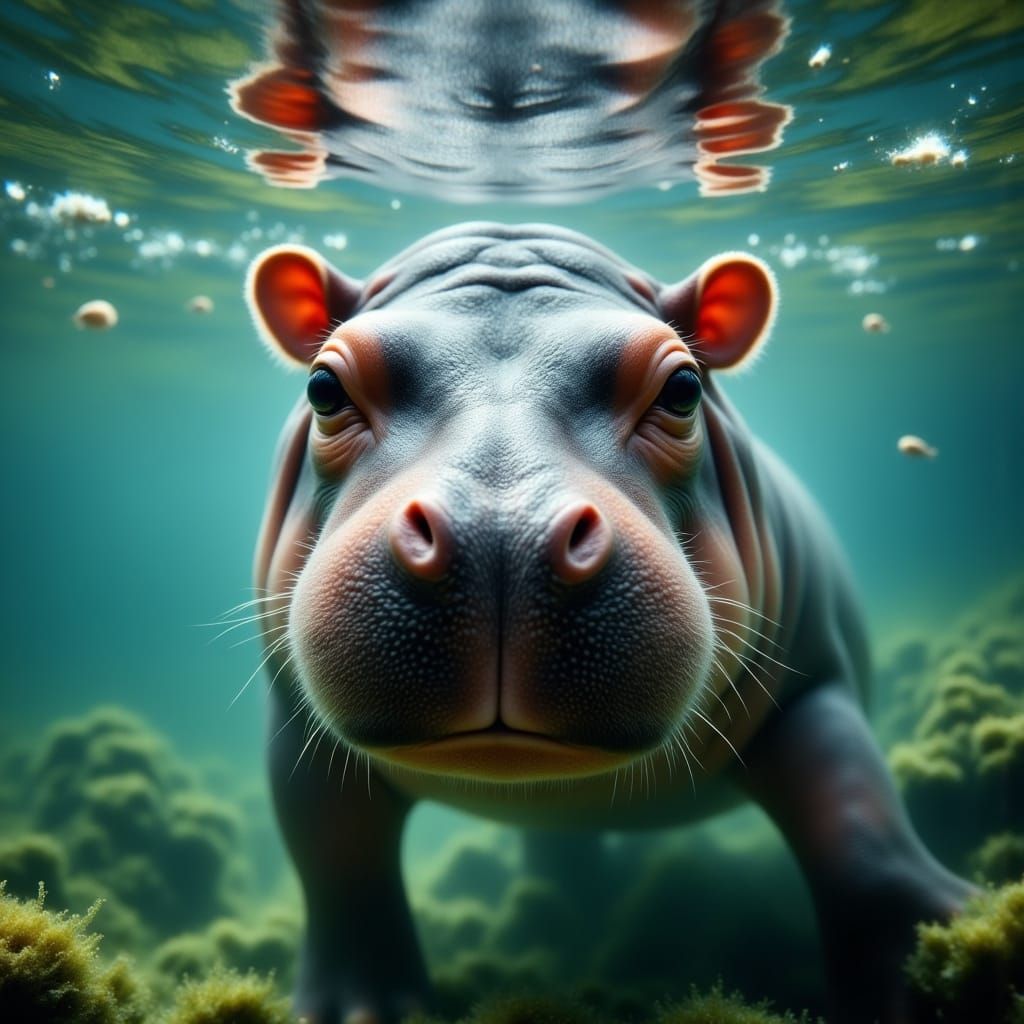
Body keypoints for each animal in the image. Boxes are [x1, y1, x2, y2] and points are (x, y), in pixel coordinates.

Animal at [245, 223, 971, 1024]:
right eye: (323, 387)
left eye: (684, 388)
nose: (501, 534)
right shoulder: (299, 726)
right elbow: (336, 860)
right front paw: (359, 1013)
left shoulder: (811, 685)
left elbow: (858, 825)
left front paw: (933, 976)